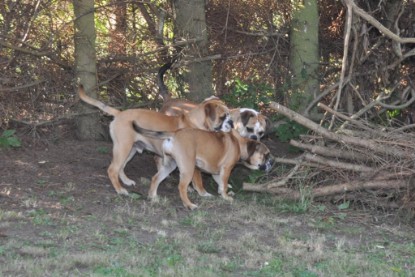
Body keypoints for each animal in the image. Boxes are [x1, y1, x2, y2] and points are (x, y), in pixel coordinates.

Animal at [78, 84, 234, 194]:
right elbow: (196, 178)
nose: (232, 123)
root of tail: (120, 113)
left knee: (120, 167)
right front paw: (199, 191)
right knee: (112, 169)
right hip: (123, 148)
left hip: (131, 149)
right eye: (222, 117)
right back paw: (120, 190)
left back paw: (126, 182)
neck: (196, 122)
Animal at [134, 121, 276, 209]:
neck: (239, 143)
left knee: (156, 178)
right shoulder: (226, 169)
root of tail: (174, 133)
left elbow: (221, 184)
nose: (272, 162)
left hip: (170, 165)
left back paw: (153, 197)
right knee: (181, 187)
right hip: (188, 168)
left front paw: (222, 193)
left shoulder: (217, 172)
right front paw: (226, 197)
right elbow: (223, 183)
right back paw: (189, 205)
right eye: (266, 155)